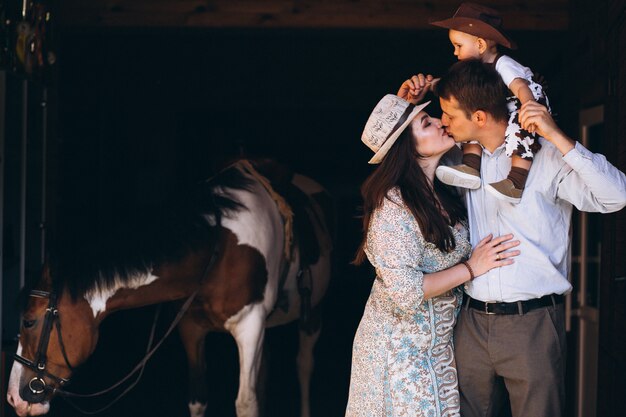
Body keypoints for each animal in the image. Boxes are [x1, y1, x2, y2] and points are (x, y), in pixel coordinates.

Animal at [7, 158, 334, 416]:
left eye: (29, 321)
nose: (12, 399)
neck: (218, 248)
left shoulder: (250, 326)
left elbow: (245, 403)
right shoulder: (191, 328)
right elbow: (198, 400)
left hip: (313, 314)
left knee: (304, 366)